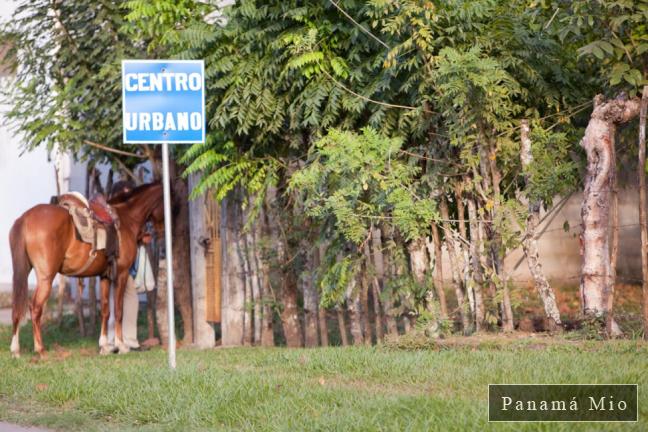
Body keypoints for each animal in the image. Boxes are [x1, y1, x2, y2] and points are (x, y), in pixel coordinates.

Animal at [8, 182, 163, 358]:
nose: (160, 232)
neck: (127, 219)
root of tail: (24, 219)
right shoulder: (121, 275)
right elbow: (119, 311)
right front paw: (121, 346)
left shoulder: (105, 276)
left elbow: (105, 310)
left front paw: (104, 347)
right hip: (46, 278)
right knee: (35, 308)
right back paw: (40, 349)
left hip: (22, 272)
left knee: (17, 307)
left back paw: (16, 350)